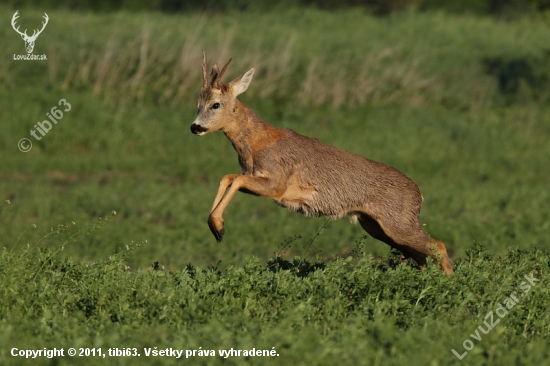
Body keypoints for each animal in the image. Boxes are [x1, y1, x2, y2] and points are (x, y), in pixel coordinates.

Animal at [192, 50, 454, 274]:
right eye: (197, 105)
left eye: (216, 104)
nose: (195, 127)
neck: (257, 144)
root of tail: (419, 195)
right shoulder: (255, 178)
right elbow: (228, 177)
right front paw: (215, 226)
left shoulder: (277, 184)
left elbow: (234, 179)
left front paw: (219, 227)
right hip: (375, 226)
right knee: (421, 255)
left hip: (397, 223)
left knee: (438, 246)